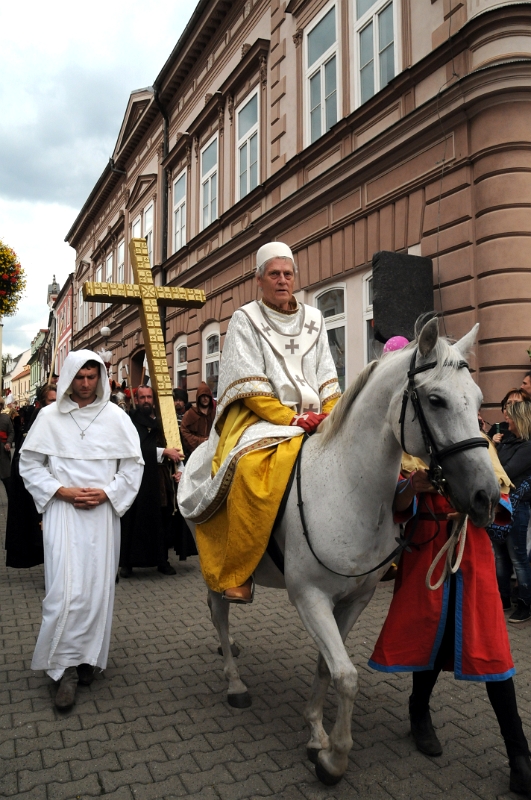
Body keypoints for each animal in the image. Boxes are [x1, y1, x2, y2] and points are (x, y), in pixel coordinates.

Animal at [189, 318, 500, 780]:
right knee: (219, 613)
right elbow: (347, 675)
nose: (486, 497)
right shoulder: (310, 597)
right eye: (436, 400)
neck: (347, 488)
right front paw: (334, 757)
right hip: (216, 563)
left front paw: (316, 731)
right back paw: (235, 682)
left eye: (479, 399)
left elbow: (329, 666)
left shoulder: (356, 598)